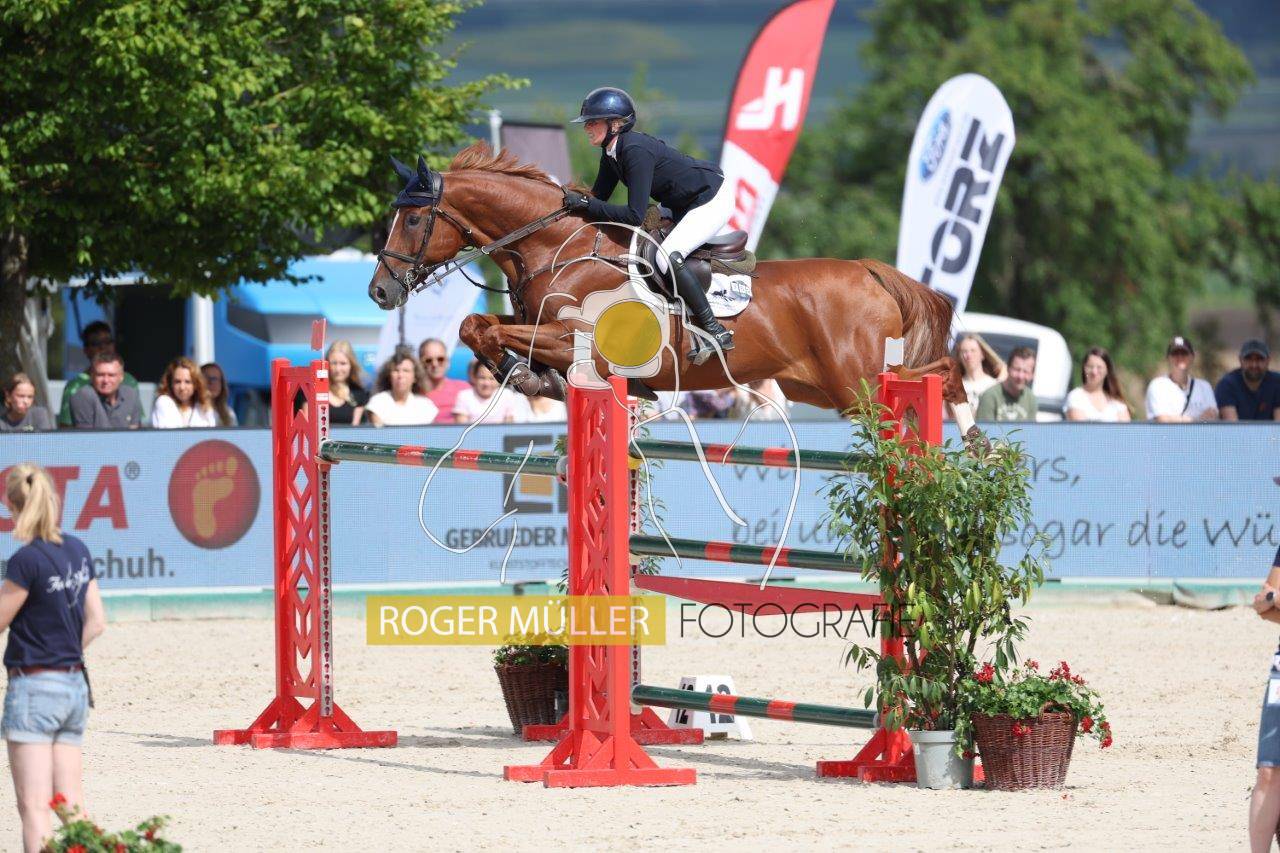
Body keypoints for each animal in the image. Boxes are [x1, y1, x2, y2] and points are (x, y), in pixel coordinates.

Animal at [368, 143, 966, 416]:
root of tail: (869, 271)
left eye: (414, 219)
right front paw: (528, 376)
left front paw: (524, 374)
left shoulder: (576, 340)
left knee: (931, 383)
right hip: (818, 387)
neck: (554, 250)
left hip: (858, 381)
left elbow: (495, 332)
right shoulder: (533, 323)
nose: (380, 290)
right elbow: (476, 326)